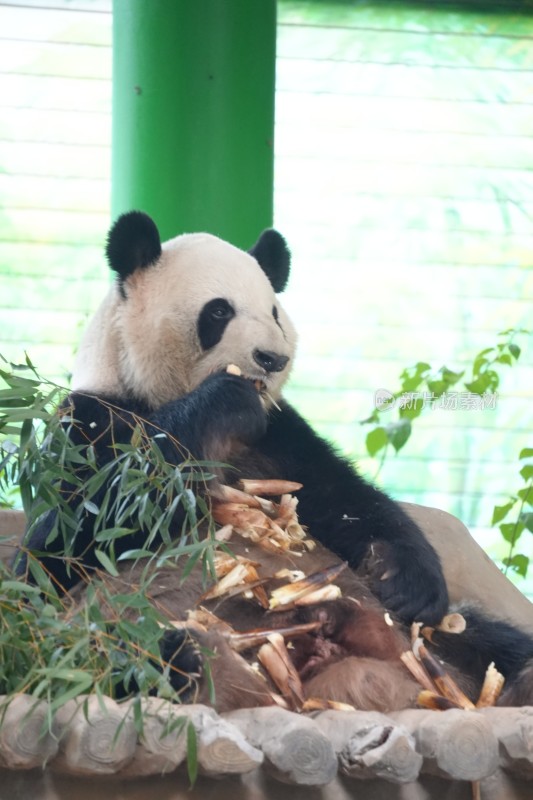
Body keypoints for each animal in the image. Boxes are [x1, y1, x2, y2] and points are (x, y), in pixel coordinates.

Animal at [18, 209, 532, 708]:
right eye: (219, 310)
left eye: (274, 313)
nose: (272, 358)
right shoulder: (89, 422)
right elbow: (70, 540)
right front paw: (223, 400)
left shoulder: (282, 437)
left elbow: (347, 501)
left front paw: (405, 580)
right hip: (113, 633)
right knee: (104, 649)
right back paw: (188, 661)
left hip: (436, 640)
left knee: (494, 642)